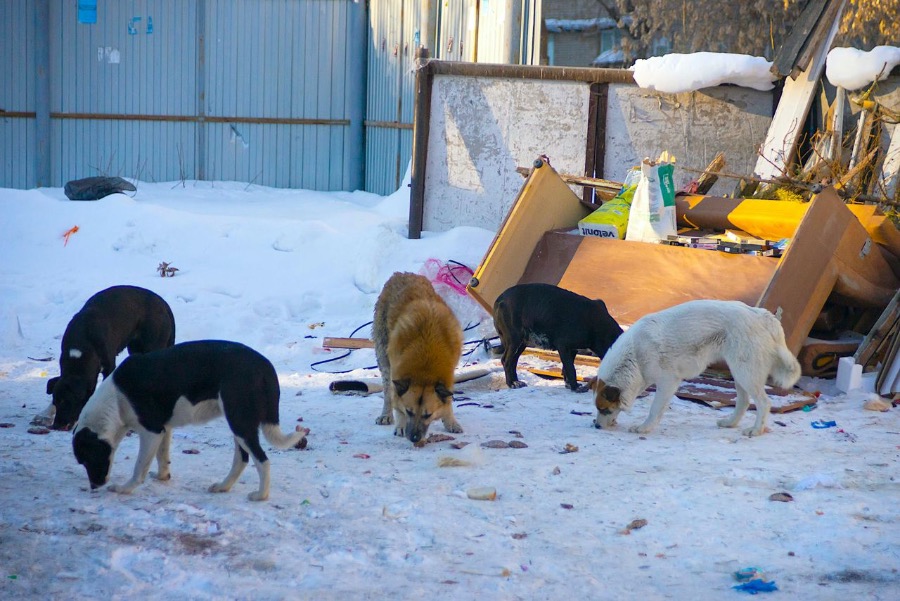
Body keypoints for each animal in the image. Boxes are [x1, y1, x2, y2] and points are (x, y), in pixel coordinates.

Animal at [41, 284, 176, 428]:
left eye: (68, 402)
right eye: (56, 401)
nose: (57, 426)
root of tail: (163, 303)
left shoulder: (109, 367)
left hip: (152, 346)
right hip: (136, 349)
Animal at [72, 340, 304, 500]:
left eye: (87, 459)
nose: (94, 486)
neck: (116, 400)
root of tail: (265, 366)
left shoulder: (151, 431)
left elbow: (139, 467)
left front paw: (124, 489)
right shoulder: (164, 429)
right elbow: (162, 456)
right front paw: (162, 476)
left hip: (240, 423)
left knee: (262, 460)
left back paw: (260, 496)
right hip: (238, 423)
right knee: (242, 459)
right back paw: (223, 486)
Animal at [372, 270, 464, 440]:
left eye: (428, 415)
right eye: (409, 412)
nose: (414, 437)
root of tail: (400, 274)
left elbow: (447, 401)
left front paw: (450, 421)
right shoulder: (397, 369)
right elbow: (396, 399)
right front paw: (400, 425)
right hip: (383, 353)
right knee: (387, 390)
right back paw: (386, 414)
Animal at [492, 282, 624, 392]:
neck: (595, 324)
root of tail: (499, 299)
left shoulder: (572, 350)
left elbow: (566, 369)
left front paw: (570, 385)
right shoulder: (563, 346)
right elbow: (571, 369)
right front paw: (575, 388)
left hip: (522, 343)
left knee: (513, 362)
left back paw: (516, 381)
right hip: (514, 340)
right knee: (506, 361)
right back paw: (511, 383)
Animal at [596, 298, 800, 436]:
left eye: (605, 409)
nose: (596, 426)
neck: (634, 356)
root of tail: (761, 315)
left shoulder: (668, 382)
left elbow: (654, 410)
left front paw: (644, 428)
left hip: (746, 373)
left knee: (764, 403)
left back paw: (756, 430)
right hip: (739, 372)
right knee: (743, 401)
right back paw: (730, 423)